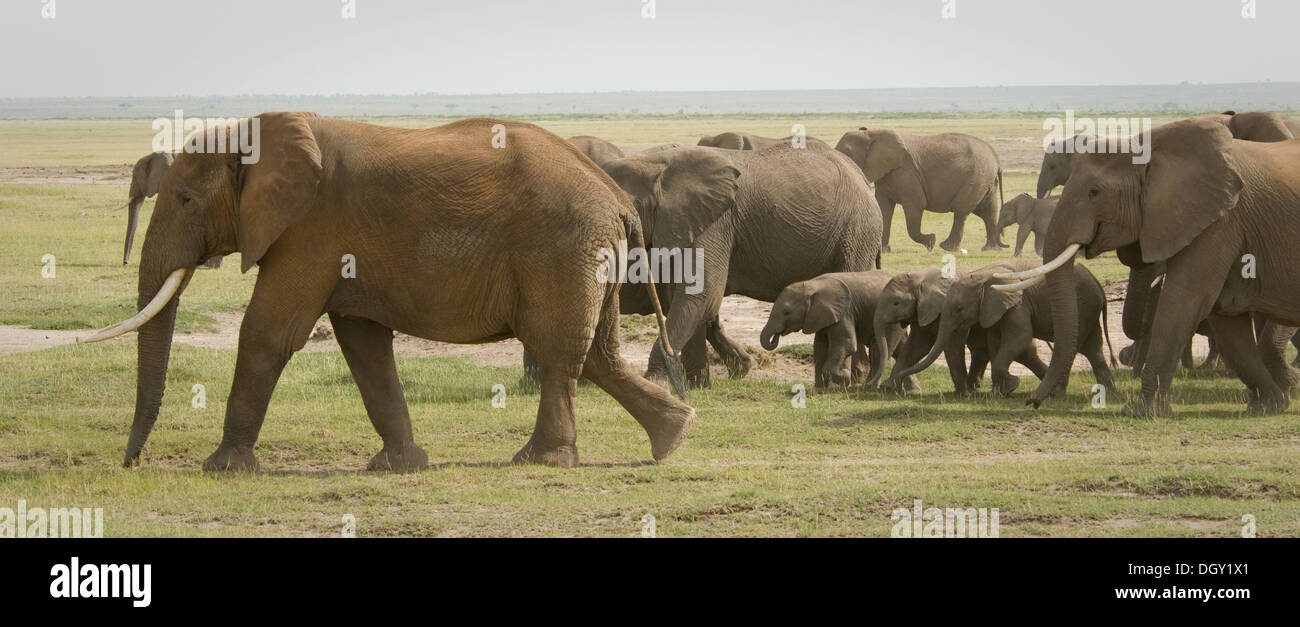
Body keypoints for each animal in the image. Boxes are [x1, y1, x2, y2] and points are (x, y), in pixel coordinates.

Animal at [78, 116, 702, 470]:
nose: (130, 464)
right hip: (587, 254)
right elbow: (364, 344)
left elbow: (268, 333)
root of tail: (617, 197)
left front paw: (223, 467)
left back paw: (541, 461)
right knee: (596, 353)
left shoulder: (311, 228)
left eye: (184, 198)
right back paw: (673, 438)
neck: (253, 136)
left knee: (558, 350)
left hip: (563, 248)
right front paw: (399, 466)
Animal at [598, 141, 883, 387]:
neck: (653, 164)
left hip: (857, 230)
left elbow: (699, 295)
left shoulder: (714, 223)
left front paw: (656, 381)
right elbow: (689, 299)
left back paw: (854, 379)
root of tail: (860, 175)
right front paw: (707, 381)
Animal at [759, 270, 920, 390]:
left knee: (878, 351)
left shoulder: (844, 312)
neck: (812, 284)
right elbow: (819, 347)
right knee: (901, 349)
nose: (777, 335)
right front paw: (820, 389)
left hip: (891, 318)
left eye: (786, 312)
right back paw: (912, 391)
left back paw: (868, 388)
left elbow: (847, 344)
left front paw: (844, 379)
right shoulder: (822, 316)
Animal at [868, 265, 987, 398]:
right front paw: (888, 387)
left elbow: (952, 347)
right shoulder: (922, 311)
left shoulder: (951, 312)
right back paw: (975, 390)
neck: (921, 278)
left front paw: (962, 394)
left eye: (896, 303)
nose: (869, 384)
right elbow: (917, 347)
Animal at [993, 120, 1300, 418]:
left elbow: (1184, 301)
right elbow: (1226, 316)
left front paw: (1140, 411)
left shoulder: (1219, 222)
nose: (1032, 402)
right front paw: (1268, 405)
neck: (1148, 147)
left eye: (1094, 193)